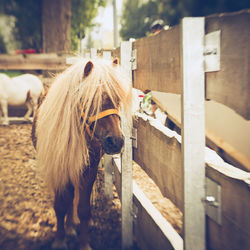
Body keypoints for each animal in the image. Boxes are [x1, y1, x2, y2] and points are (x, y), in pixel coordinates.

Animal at [32, 58, 132, 250]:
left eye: (117, 99)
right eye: (90, 99)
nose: (116, 141)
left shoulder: (88, 169)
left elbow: (83, 208)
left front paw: (84, 243)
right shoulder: (59, 168)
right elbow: (60, 205)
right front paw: (60, 240)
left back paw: (72, 225)